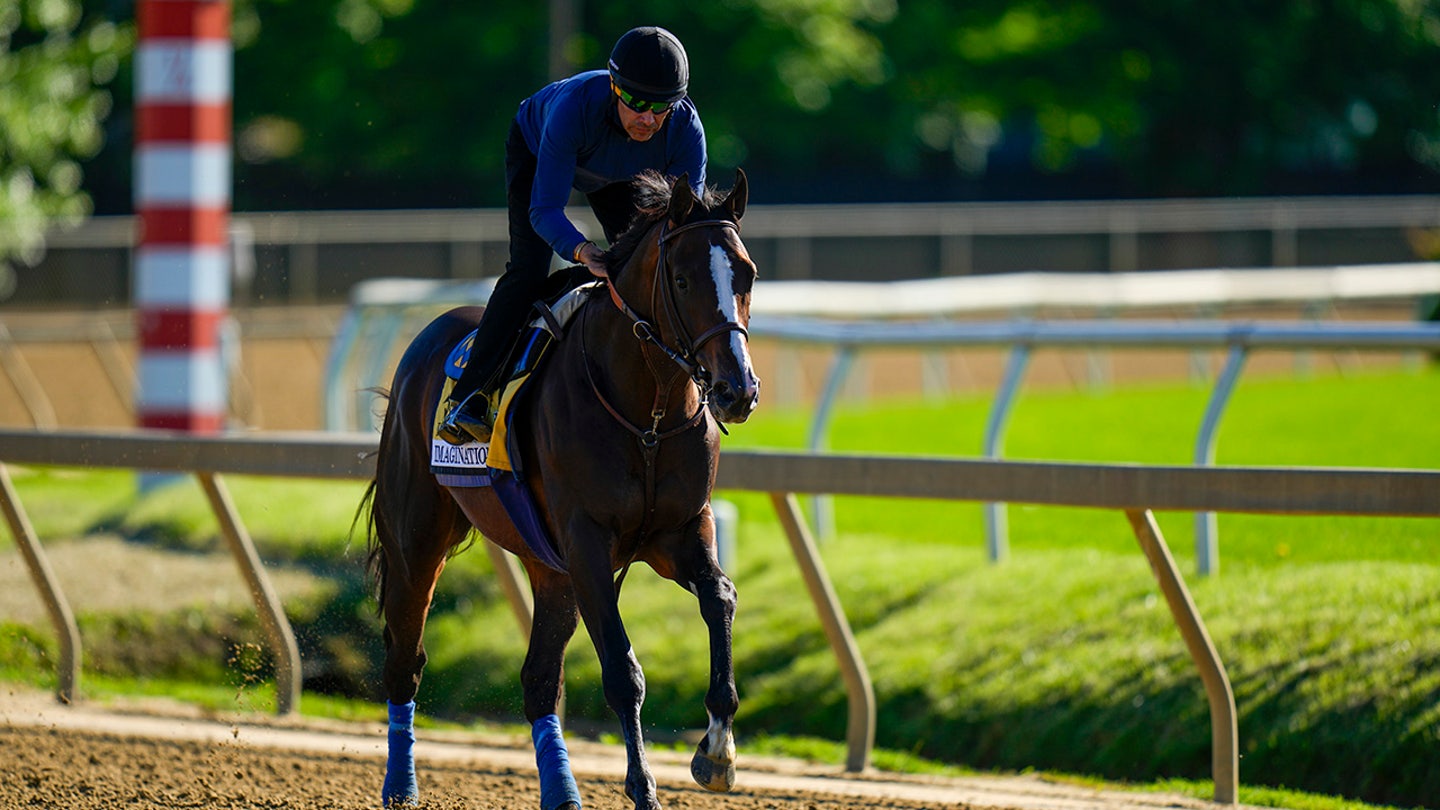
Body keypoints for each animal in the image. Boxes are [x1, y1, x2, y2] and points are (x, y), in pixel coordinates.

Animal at [360, 168, 760, 807]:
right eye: (682, 278)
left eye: (745, 274)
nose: (735, 390)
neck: (647, 415)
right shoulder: (588, 543)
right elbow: (622, 671)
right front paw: (643, 786)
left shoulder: (679, 532)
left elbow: (720, 596)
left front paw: (717, 752)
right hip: (417, 540)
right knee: (406, 656)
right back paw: (401, 786)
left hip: (549, 567)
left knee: (539, 678)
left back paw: (561, 790)